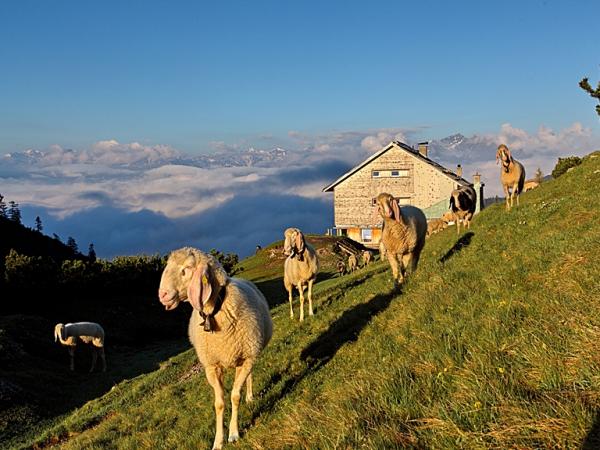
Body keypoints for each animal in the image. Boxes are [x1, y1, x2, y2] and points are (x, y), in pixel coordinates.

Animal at [158, 246, 274, 450]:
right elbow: (219, 403)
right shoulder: (212, 367)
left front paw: (234, 434)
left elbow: (235, 396)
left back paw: (250, 396)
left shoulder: (247, 358)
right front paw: (218, 441)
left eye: (186, 269)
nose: (162, 295)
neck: (215, 310)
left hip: (250, 352)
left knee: (249, 376)